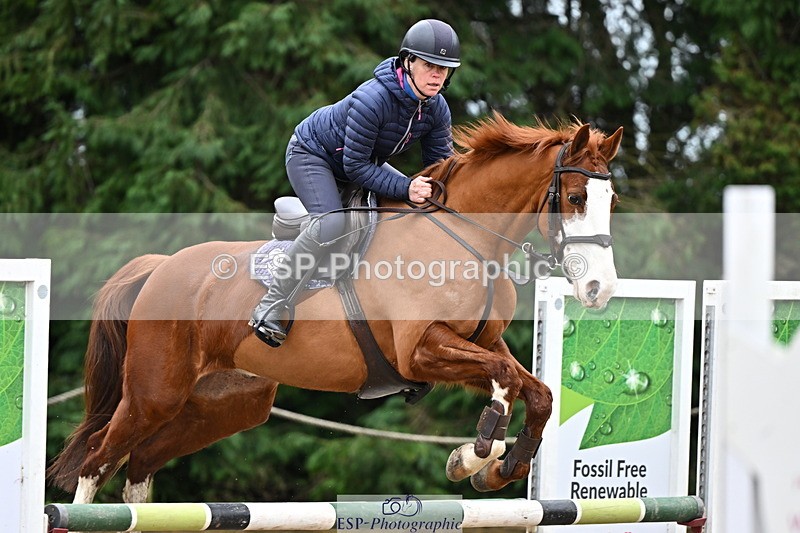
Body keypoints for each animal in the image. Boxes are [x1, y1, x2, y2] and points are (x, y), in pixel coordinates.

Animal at [48, 113, 623, 503]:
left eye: (611, 201)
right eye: (575, 198)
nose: (600, 289)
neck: (467, 239)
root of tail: (160, 268)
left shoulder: (478, 342)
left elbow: (538, 392)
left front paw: (500, 467)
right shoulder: (421, 351)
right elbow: (505, 381)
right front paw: (476, 453)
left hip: (224, 404)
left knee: (140, 464)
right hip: (155, 392)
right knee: (97, 459)